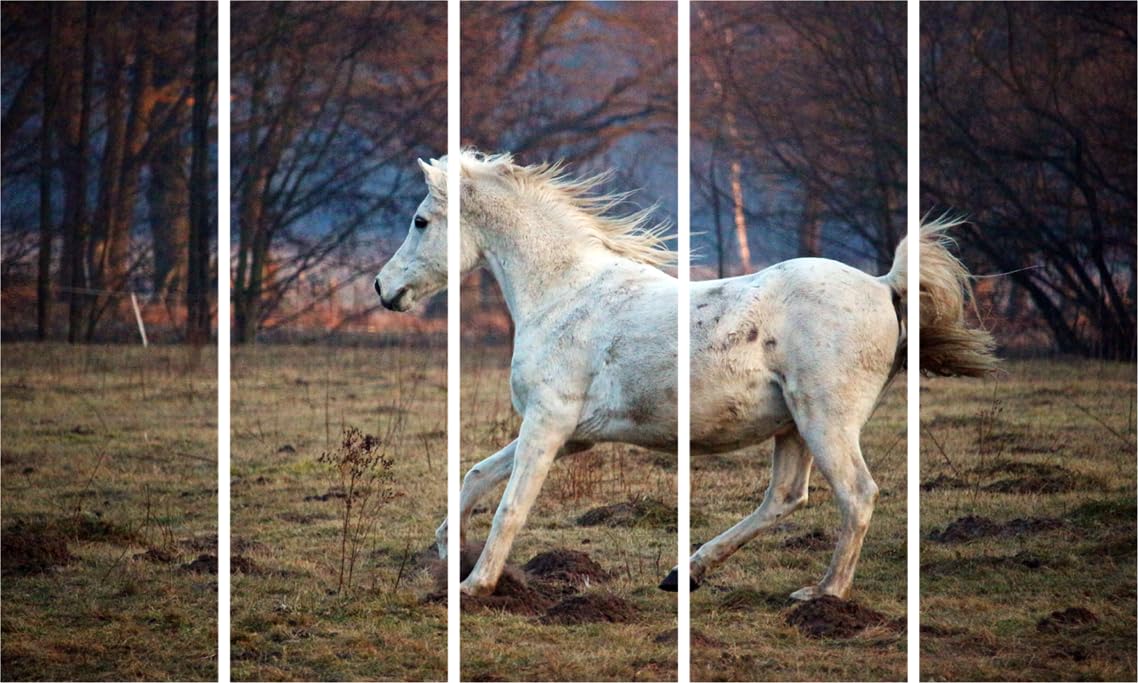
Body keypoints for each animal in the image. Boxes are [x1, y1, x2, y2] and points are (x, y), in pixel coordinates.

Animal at [375, 151, 996, 599]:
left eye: (420, 221)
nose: (384, 289)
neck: (565, 292)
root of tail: (884, 285)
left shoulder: (548, 426)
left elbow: (511, 506)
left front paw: (475, 585)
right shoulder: (571, 435)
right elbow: (476, 476)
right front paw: (448, 552)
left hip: (826, 422)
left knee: (857, 495)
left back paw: (822, 595)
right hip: (793, 427)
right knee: (785, 498)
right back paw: (686, 574)